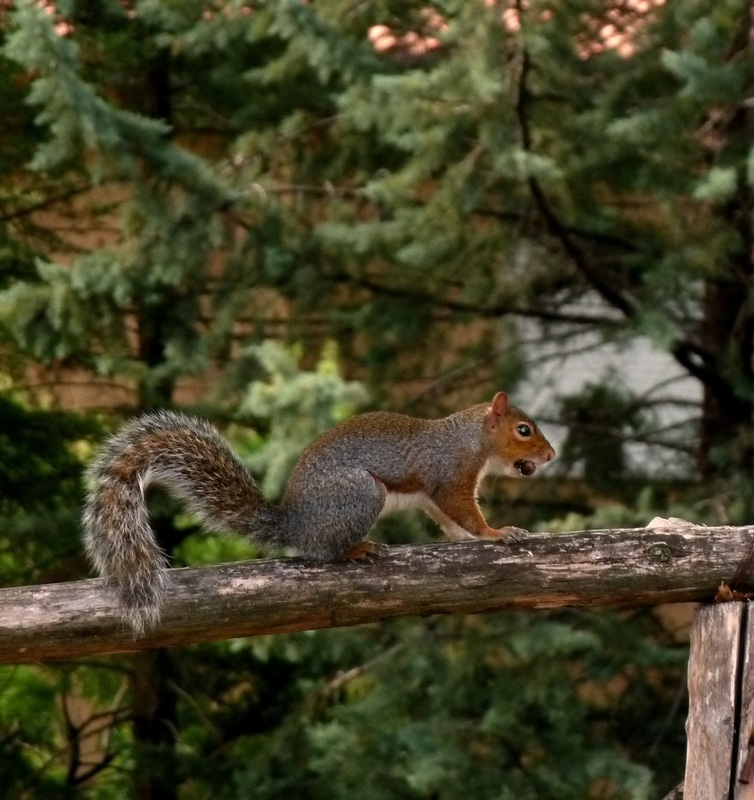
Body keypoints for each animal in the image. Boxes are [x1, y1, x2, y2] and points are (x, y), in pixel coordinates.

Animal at [83, 390, 552, 636]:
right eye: (523, 430)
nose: (551, 455)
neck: (473, 438)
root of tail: (295, 522)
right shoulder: (450, 475)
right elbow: (464, 511)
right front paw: (498, 532)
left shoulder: (434, 496)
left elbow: (450, 521)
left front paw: (467, 539)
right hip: (361, 494)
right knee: (324, 553)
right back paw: (356, 550)